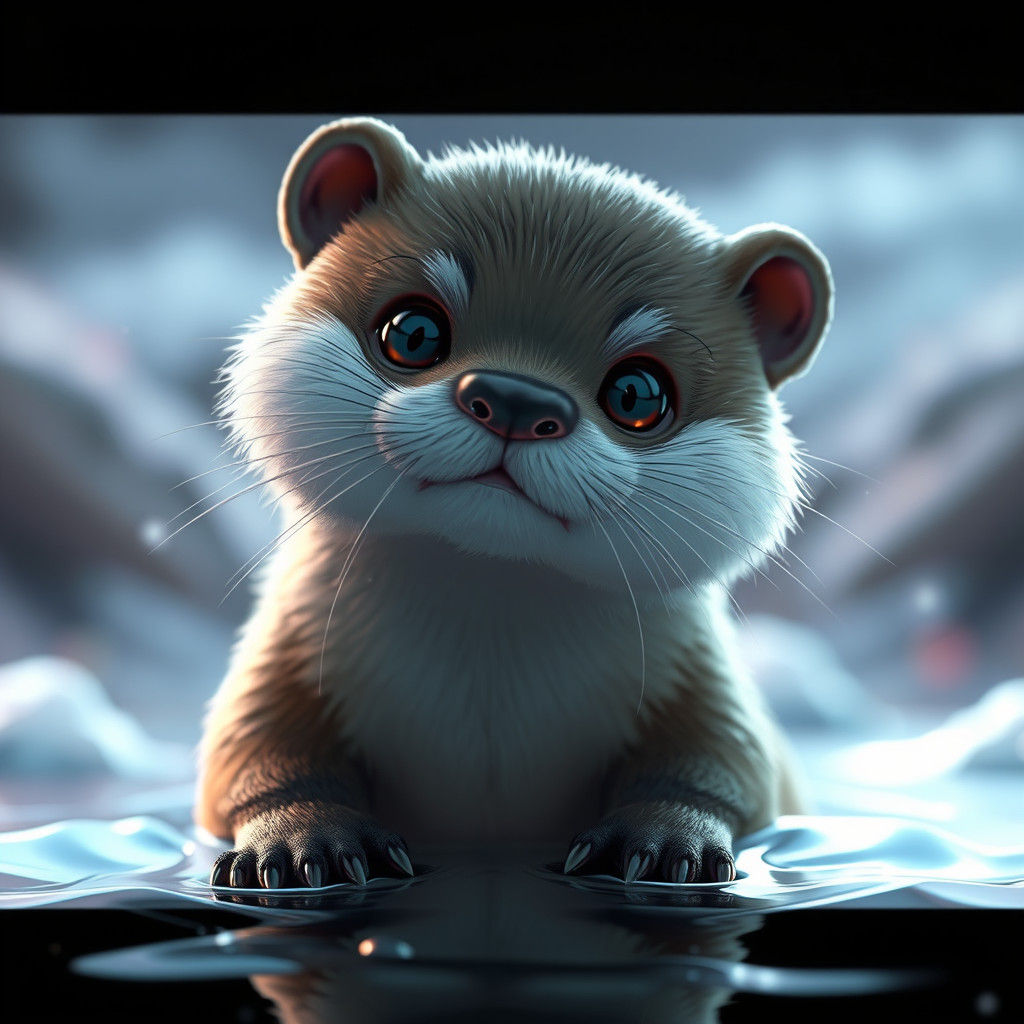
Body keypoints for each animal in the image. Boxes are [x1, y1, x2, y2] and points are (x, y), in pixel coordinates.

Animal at [198, 117, 831, 890]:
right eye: (413, 332)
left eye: (638, 394)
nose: (516, 401)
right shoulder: (283, 657)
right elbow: (250, 754)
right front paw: (303, 839)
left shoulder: (704, 684)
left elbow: (725, 766)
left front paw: (663, 841)